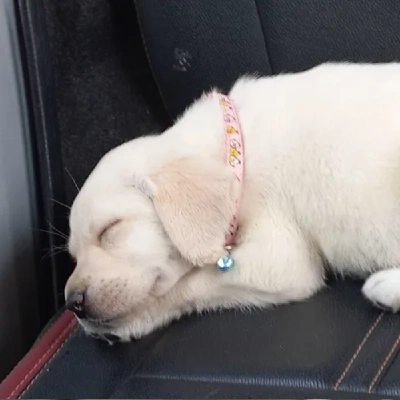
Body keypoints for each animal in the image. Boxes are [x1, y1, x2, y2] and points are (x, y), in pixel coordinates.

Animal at [65, 62, 400, 340]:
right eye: (73, 255)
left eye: (110, 229)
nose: (72, 304)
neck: (233, 149)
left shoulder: (280, 258)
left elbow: (189, 285)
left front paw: (129, 322)